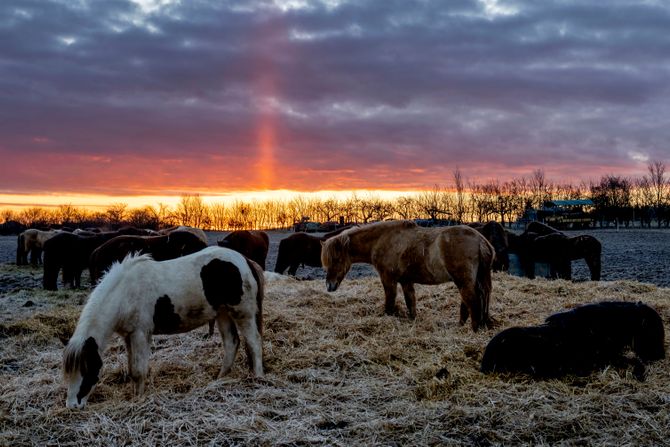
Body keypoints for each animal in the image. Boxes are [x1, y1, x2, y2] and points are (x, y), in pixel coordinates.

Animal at [61, 247, 264, 412]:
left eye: (87, 369)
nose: (72, 406)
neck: (125, 293)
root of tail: (245, 261)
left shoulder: (140, 334)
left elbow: (138, 371)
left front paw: (139, 400)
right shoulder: (129, 336)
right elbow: (132, 369)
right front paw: (135, 396)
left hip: (242, 313)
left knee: (254, 343)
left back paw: (258, 379)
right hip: (223, 314)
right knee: (232, 343)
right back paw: (220, 379)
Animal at [322, 220, 496, 332]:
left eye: (336, 259)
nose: (329, 285)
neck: (383, 239)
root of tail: (481, 240)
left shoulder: (389, 280)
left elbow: (390, 303)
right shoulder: (406, 281)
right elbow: (410, 303)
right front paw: (413, 321)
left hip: (464, 281)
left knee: (473, 302)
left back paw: (473, 330)